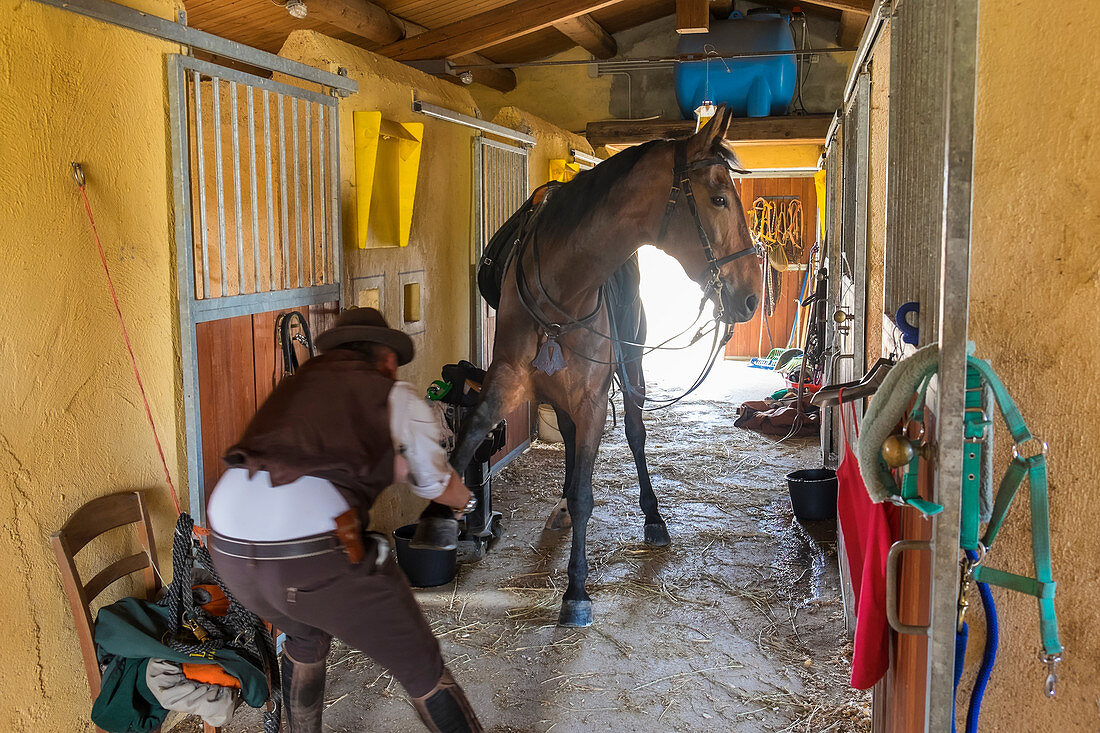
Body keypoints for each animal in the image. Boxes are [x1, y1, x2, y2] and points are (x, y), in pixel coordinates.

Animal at [451, 111, 761, 625]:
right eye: (718, 198)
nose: (752, 296)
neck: (565, 285)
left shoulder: (594, 399)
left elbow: (587, 491)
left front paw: (576, 590)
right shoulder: (507, 379)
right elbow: (468, 439)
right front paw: (439, 525)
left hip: (631, 370)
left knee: (634, 432)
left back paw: (652, 518)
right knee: (570, 440)